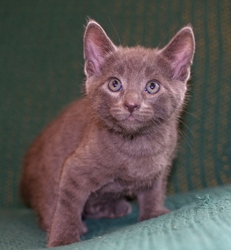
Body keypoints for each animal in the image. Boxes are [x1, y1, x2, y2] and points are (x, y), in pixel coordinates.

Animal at [20, 20, 195, 248]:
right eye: (114, 84)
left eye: (152, 86)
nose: (131, 104)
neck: (137, 144)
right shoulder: (74, 168)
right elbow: (67, 205)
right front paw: (63, 239)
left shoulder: (162, 165)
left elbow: (154, 191)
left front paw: (153, 213)